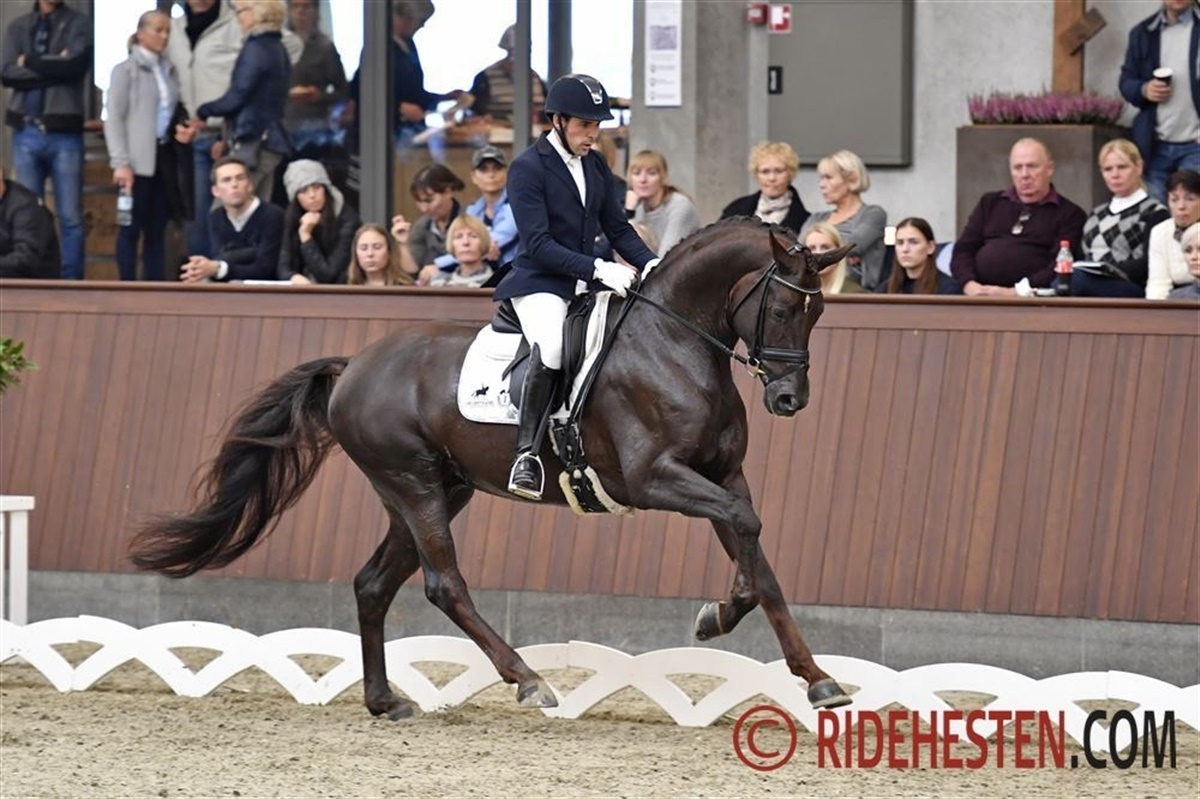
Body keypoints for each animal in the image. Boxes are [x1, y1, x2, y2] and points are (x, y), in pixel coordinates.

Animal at [129, 216, 856, 719]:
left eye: (819, 311)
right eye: (783, 309)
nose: (789, 400)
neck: (675, 343)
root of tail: (353, 366)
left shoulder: (721, 474)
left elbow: (759, 556)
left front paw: (813, 674)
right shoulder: (656, 479)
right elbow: (747, 530)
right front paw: (719, 616)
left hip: (433, 491)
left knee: (373, 583)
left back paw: (384, 700)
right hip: (415, 484)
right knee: (443, 584)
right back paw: (528, 680)